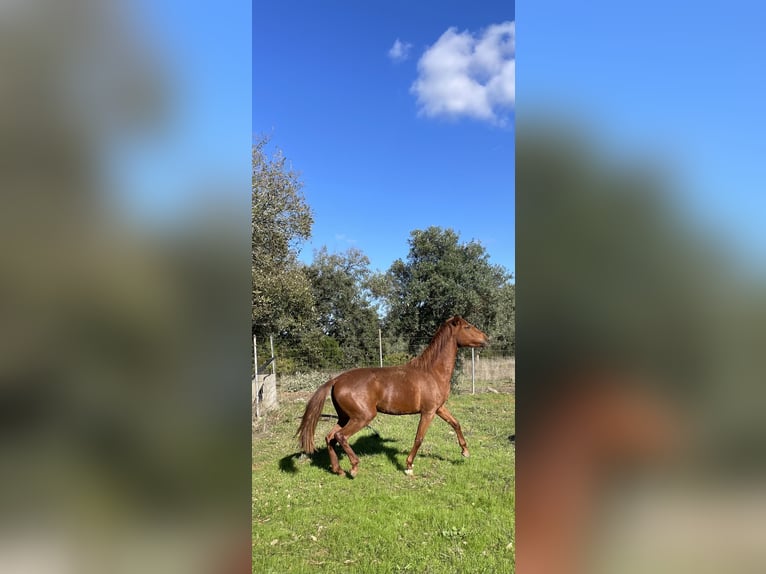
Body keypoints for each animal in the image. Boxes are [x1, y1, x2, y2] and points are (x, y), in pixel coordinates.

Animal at [296, 318, 488, 480]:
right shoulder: (428, 412)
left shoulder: (439, 408)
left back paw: (338, 470)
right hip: (362, 417)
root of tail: (337, 380)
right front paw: (409, 466)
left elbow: (456, 423)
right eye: (467, 327)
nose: (486, 339)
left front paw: (465, 451)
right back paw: (354, 467)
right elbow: (419, 438)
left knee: (330, 437)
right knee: (340, 436)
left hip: (345, 417)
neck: (432, 372)